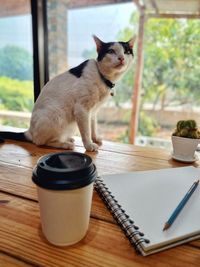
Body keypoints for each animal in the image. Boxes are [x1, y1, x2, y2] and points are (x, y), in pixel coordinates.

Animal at [0, 35, 136, 152]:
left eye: (126, 52)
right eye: (111, 51)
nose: (121, 58)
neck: (103, 77)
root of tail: (30, 131)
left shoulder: (92, 112)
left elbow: (93, 127)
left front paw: (95, 139)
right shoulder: (82, 110)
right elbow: (86, 131)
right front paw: (89, 145)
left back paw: (67, 139)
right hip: (58, 115)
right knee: (40, 142)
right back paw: (64, 144)